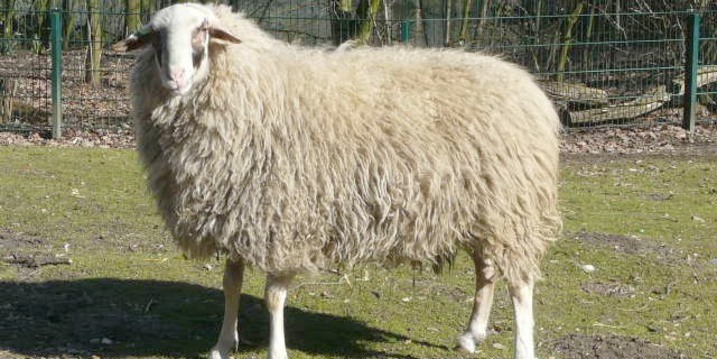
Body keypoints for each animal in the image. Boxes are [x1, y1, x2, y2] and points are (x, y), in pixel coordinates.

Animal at [113, 2, 560, 359]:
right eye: (156, 36)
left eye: (203, 31)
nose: (175, 76)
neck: (252, 85)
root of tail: (526, 86)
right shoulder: (238, 209)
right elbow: (230, 284)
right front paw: (223, 345)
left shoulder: (284, 217)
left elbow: (273, 297)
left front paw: (277, 351)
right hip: (482, 210)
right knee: (487, 271)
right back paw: (471, 335)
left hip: (513, 208)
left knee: (520, 285)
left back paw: (522, 348)